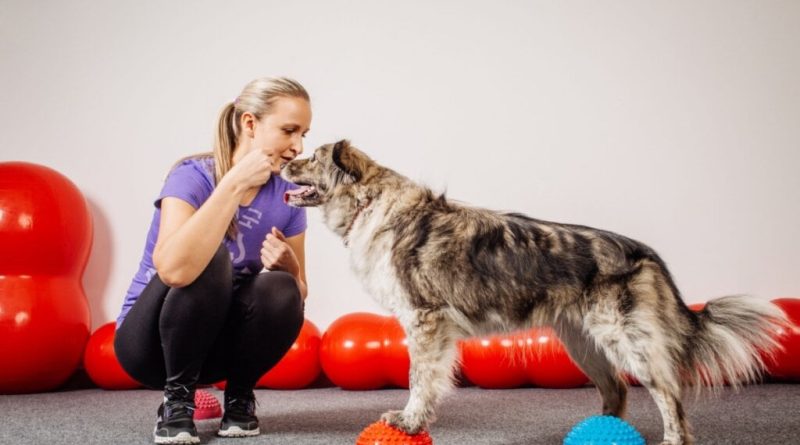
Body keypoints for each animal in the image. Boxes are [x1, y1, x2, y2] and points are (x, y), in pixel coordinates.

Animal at [280, 140, 788, 444]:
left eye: (313, 158)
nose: (284, 160)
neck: (372, 204)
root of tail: (644, 253)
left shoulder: (425, 321)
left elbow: (420, 381)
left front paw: (409, 422)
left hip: (626, 339)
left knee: (670, 398)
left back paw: (670, 437)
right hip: (584, 343)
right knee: (617, 392)